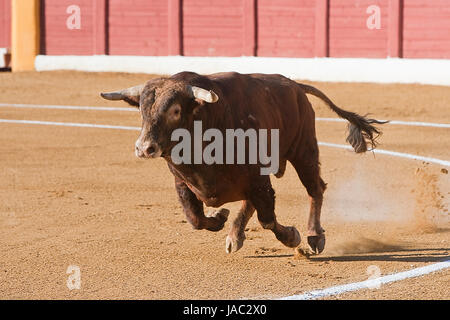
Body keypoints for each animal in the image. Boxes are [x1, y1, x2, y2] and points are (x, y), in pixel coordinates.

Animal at [101, 72, 384, 255]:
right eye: (141, 110)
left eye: (175, 111)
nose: (144, 148)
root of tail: (294, 86)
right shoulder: (181, 181)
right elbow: (195, 219)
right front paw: (219, 217)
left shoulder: (259, 179)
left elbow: (268, 219)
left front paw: (292, 237)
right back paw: (235, 235)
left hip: (304, 150)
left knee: (315, 188)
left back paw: (314, 236)